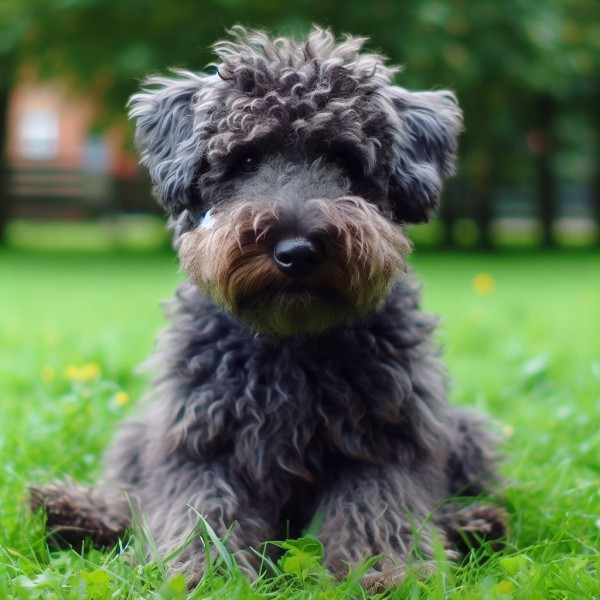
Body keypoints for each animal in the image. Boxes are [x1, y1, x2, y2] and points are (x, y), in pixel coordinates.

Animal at [30, 27, 504, 592]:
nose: (297, 251)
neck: (290, 346)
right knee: (128, 493)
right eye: (247, 160)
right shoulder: (201, 439)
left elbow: (379, 507)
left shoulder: (388, 439)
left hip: (468, 430)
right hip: (141, 432)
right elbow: (200, 510)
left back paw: (475, 522)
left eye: (346, 161)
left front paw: (386, 571)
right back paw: (73, 510)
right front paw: (201, 572)